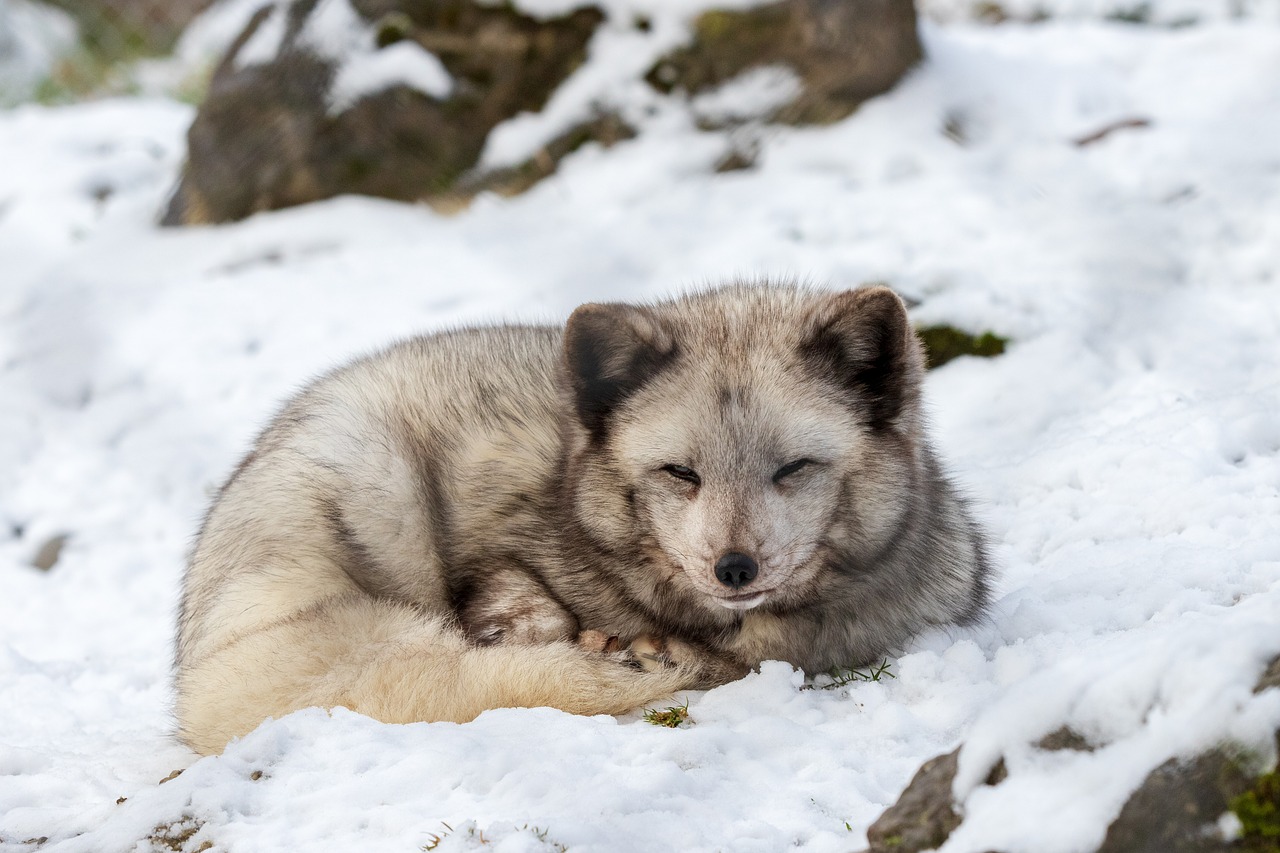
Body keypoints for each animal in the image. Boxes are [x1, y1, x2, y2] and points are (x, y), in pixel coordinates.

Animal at [172, 280, 988, 753]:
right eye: (680, 472)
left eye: (793, 468)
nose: (734, 568)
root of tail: (189, 670)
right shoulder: (497, 540)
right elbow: (511, 595)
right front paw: (571, 639)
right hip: (370, 480)